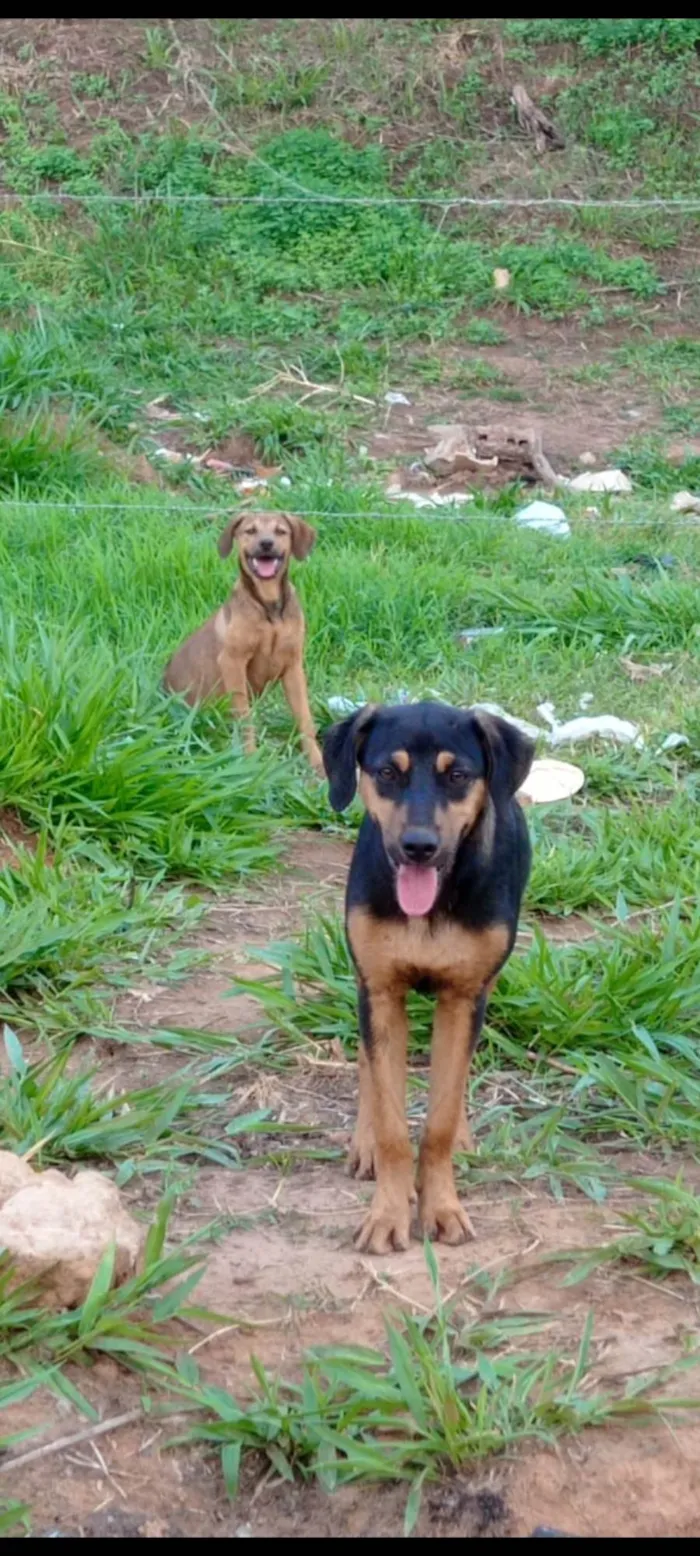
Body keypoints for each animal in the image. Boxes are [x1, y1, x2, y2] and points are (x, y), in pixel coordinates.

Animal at [161, 510, 322, 771]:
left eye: (280, 531)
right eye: (250, 531)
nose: (266, 544)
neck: (269, 607)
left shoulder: (293, 667)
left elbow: (305, 719)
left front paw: (317, 762)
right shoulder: (232, 662)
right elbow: (245, 718)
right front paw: (249, 761)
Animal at [323, 700, 535, 1257]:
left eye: (457, 775)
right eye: (387, 773)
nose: (419, 846)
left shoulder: (463, 996)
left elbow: (438, 1117)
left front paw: (441, 1206)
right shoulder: (379, 989)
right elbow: (393, 1120)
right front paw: (388, 1212)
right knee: (369, 1062)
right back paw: (365, 1142)